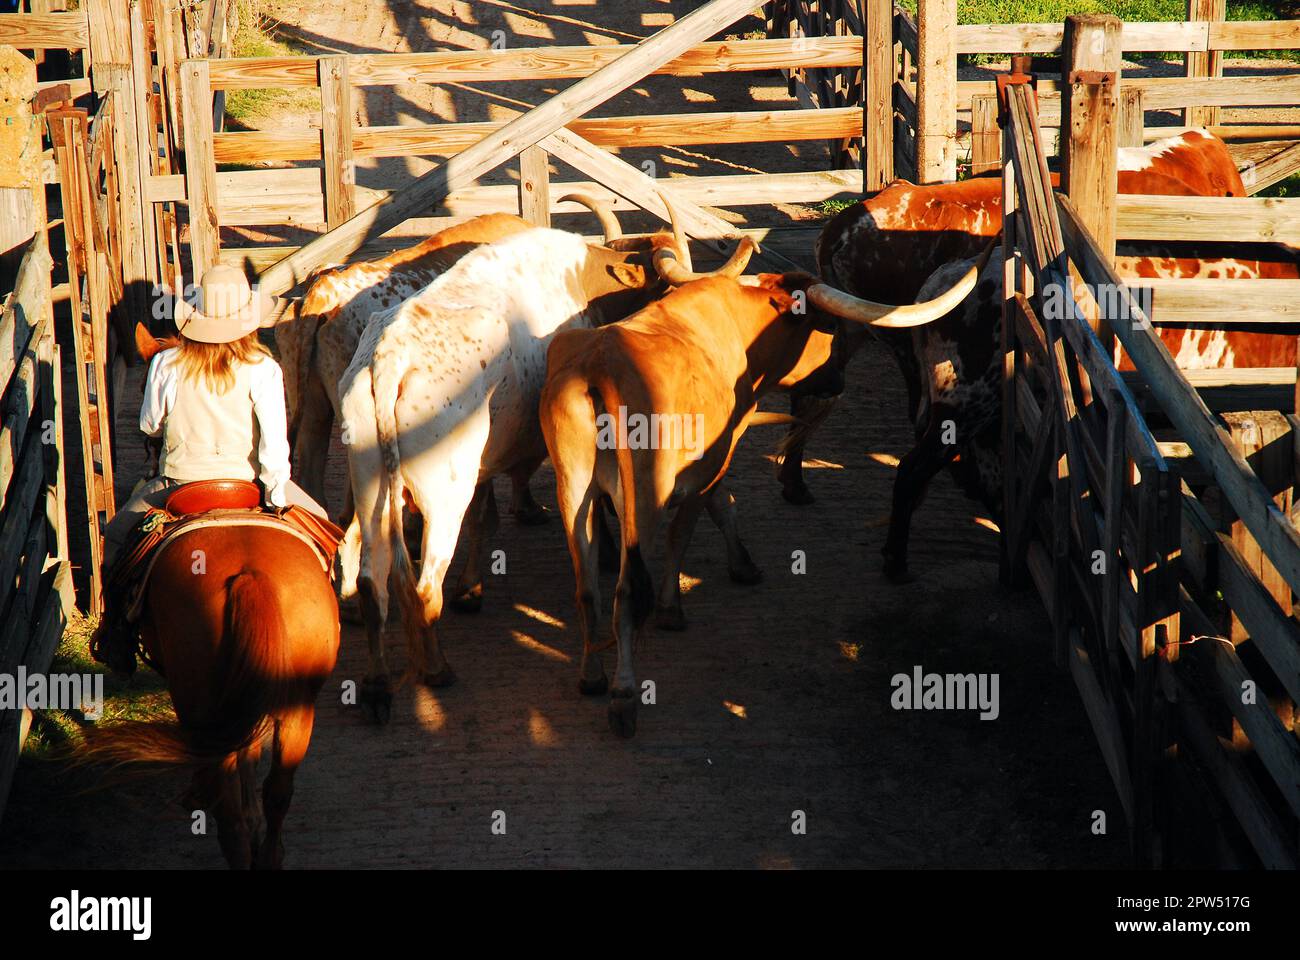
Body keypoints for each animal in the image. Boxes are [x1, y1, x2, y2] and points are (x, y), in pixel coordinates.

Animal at [85, 522, 338, 868]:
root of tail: (248, 577)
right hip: (296, 711)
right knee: (277, 792)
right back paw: (268, 854)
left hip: (203, 710)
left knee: (228, 814)